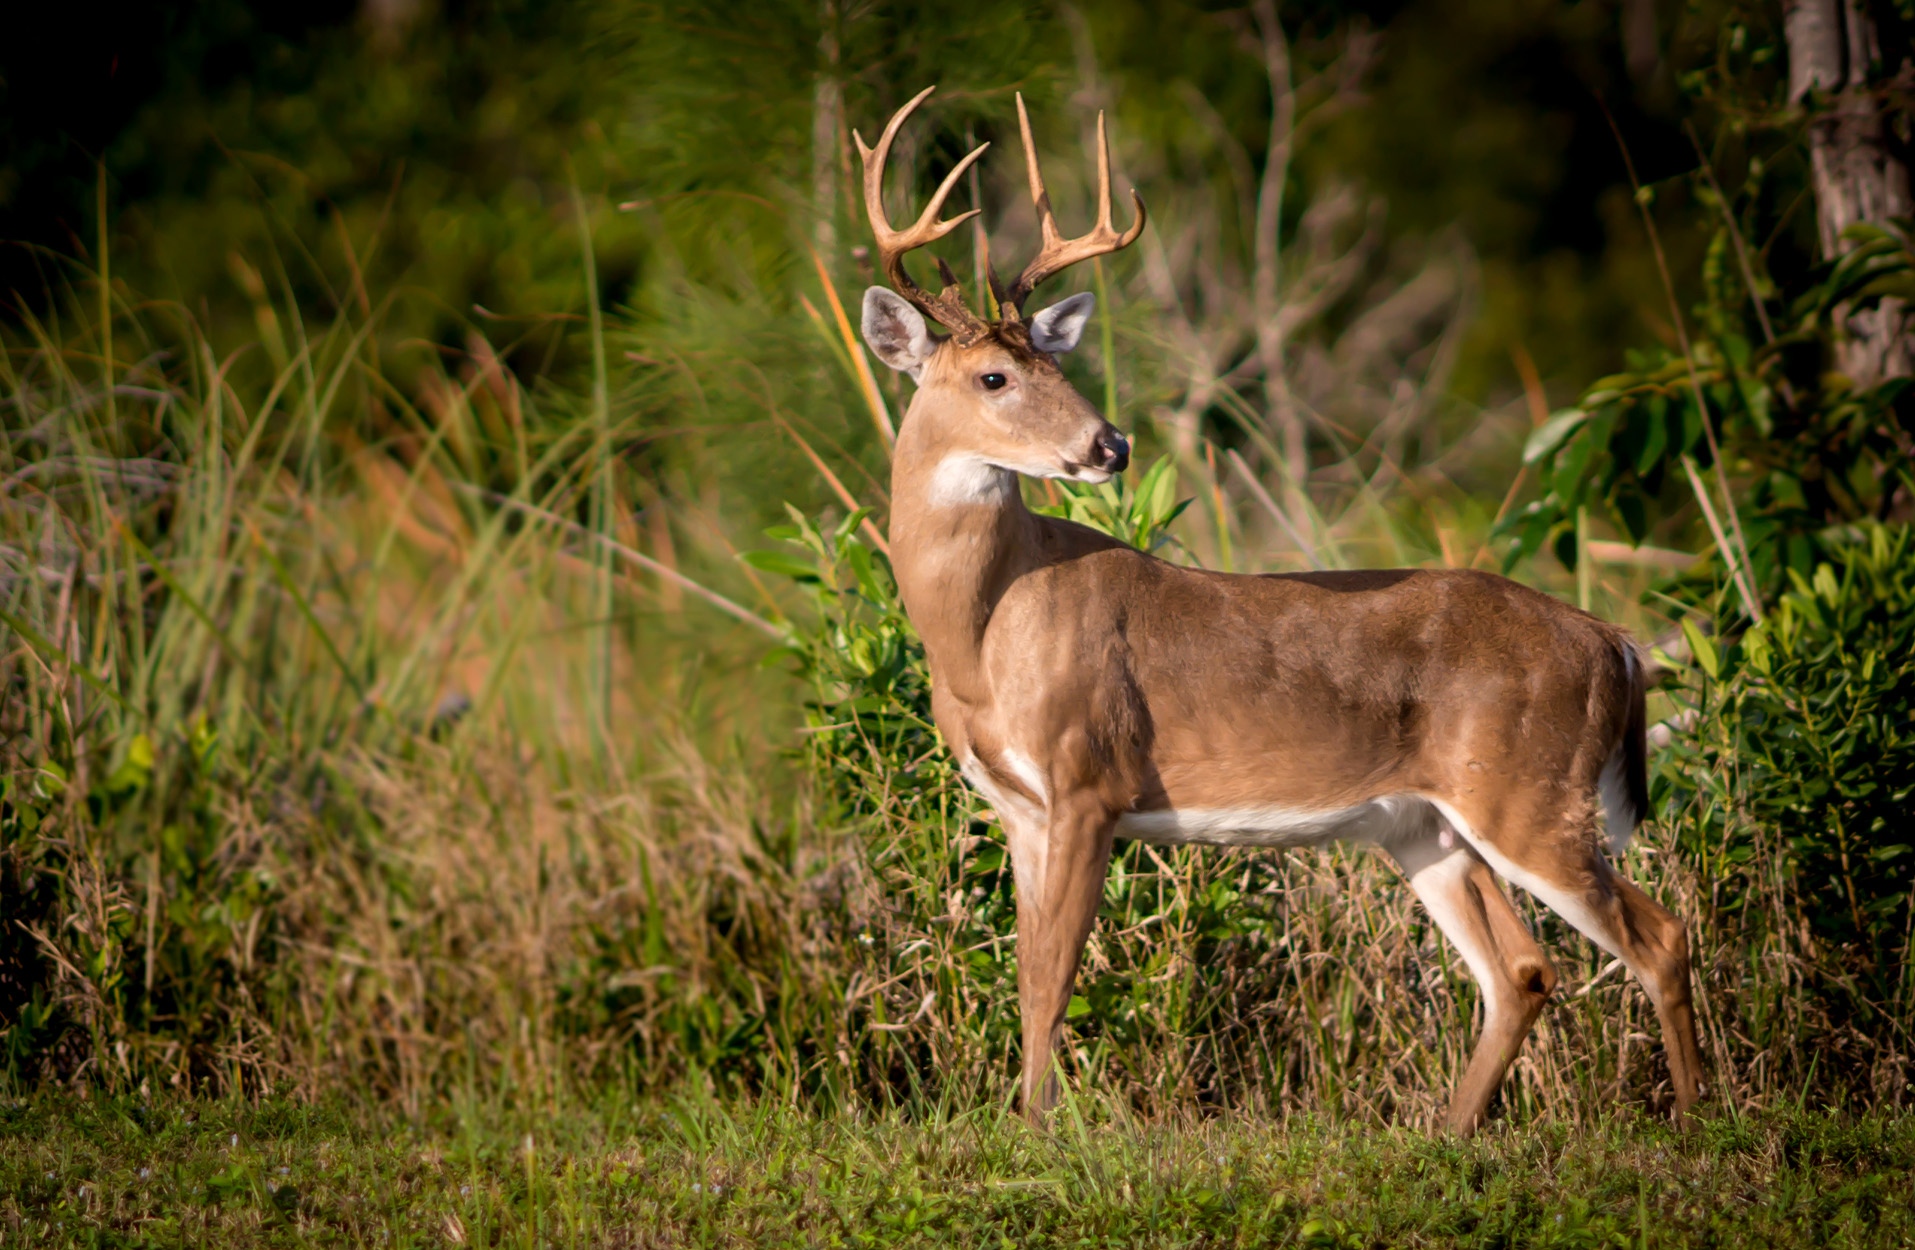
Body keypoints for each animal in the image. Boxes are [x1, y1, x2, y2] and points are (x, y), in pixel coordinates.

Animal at [854, 85, 1708, 1133]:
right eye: (994, 376)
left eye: (1059, 367)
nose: (1109, 445)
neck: (981, 633)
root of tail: (1613, 643)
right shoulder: (1018, 808)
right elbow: (1026, 980)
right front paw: (1030, 1123)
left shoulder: (1090, 779)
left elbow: (1053, 979)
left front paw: (1039, 1133)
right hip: (1424, 825)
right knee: (1521, 970)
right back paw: (1449, 1134)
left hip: (1530, 793)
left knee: (1657, 937)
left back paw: (1699, 1122)